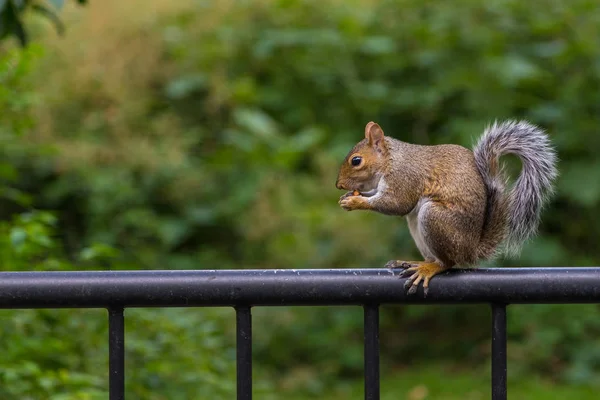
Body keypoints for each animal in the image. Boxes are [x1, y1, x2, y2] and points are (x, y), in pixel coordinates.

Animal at [338, 120, 556, 296]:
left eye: (356, 161)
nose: (338, 185)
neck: (391, 160)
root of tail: (471, 251)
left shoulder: (405, 177)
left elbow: (397, 204)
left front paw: (355, 202)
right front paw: (349, 197)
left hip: (434, 218)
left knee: (448, 263)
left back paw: (428, 269)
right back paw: (416, 262)